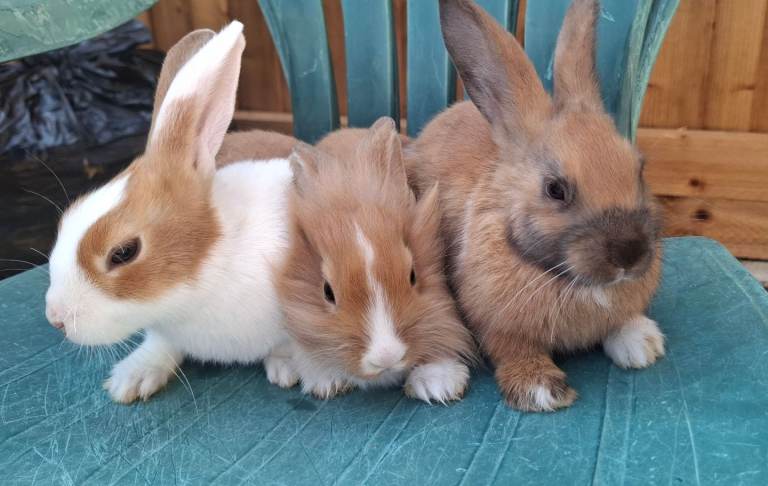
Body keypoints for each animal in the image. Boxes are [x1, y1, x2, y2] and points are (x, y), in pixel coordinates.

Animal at [43, 22, 301, 403]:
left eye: (124, 252)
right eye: (67, 218)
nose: (56, 318)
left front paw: (289, 367)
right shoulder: (165, 330)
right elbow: (162, 345)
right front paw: (132, 379)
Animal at [405, 0, 664, 411]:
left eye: (638, 169)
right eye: (555, 190)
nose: (630, 253)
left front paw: (641, 343)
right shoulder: (496, 323)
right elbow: (511, 347)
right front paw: (540, 389)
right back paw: (437, 380)